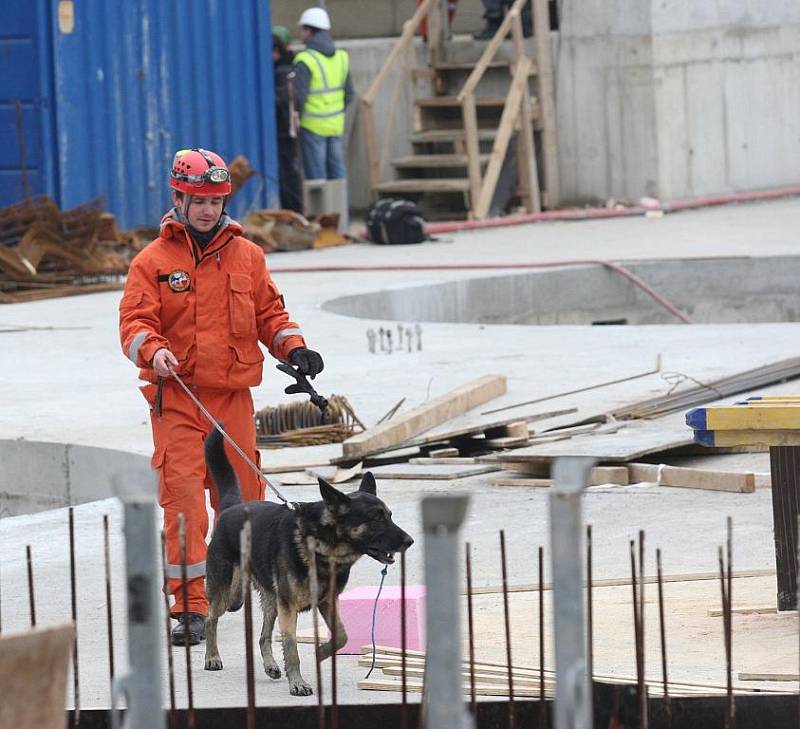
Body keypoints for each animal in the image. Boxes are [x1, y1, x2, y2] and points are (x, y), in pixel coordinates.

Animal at [202, 430, 412, 696]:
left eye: (390, 516)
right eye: (376, 519)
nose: (410, 541)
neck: (323, 544)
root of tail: (233, 506)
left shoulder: (327, 601)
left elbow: (342, 636)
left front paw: (320, 652)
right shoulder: (289, 607)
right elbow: (291, 647)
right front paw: (298, 683)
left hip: (272, 600)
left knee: (263, 636)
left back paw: (270, 665)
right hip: (228, 593)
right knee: (211, 617)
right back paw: (212, 657)